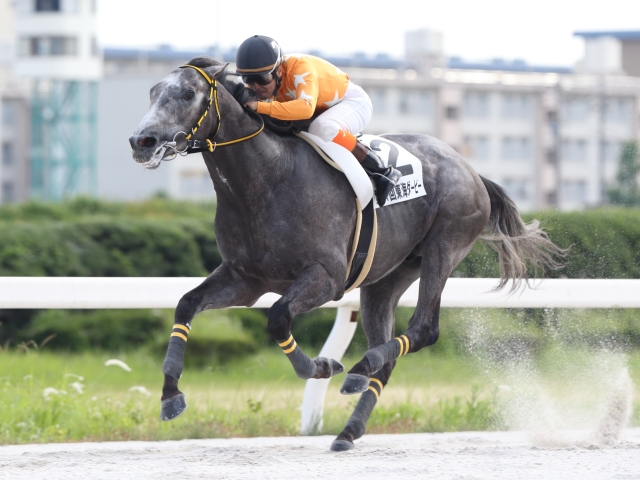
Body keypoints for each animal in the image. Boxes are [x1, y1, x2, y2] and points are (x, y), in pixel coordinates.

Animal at [131, 58, 564, 452]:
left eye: (188, 93)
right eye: (152, 92)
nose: (142, 141)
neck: (267, 181)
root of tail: (471, 169)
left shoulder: (327, 277)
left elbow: (278, 318)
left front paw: (323, 366)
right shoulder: (246, 279)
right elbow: (186, 304)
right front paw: (170, 396)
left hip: (445, 246)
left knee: (424, 329)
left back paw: (358, 368)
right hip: (388, 277)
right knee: (389, 354)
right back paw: (349, 427)